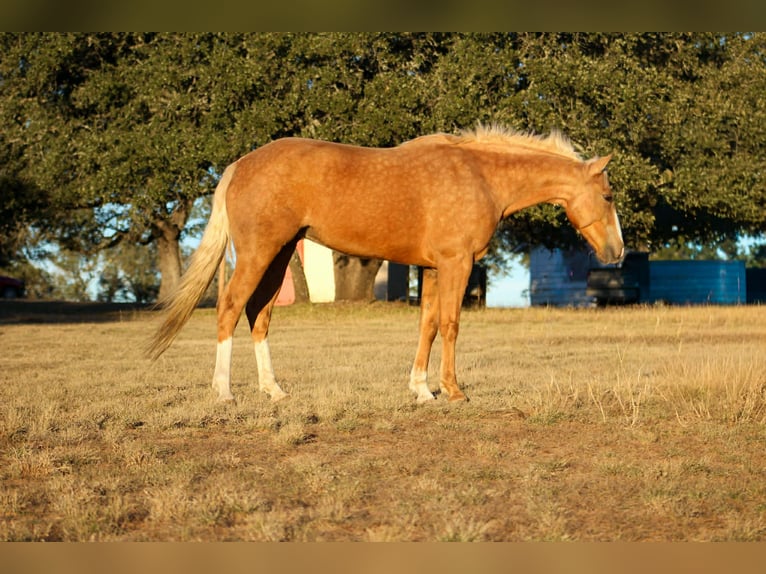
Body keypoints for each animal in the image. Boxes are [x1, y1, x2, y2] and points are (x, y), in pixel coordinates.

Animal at [146, 125, 624, 404]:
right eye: (607, 196)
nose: (617, 253)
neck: (480, 175)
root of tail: (240, 164)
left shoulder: (432, 268)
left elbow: (427, 325)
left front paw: (421, 390)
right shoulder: (456, 263)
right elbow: (450, 324)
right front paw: (453, 390)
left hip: (279, 255)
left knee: (258, 315)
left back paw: (274, 391)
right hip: (258, 253)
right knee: (229, 308)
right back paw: (224, 392)